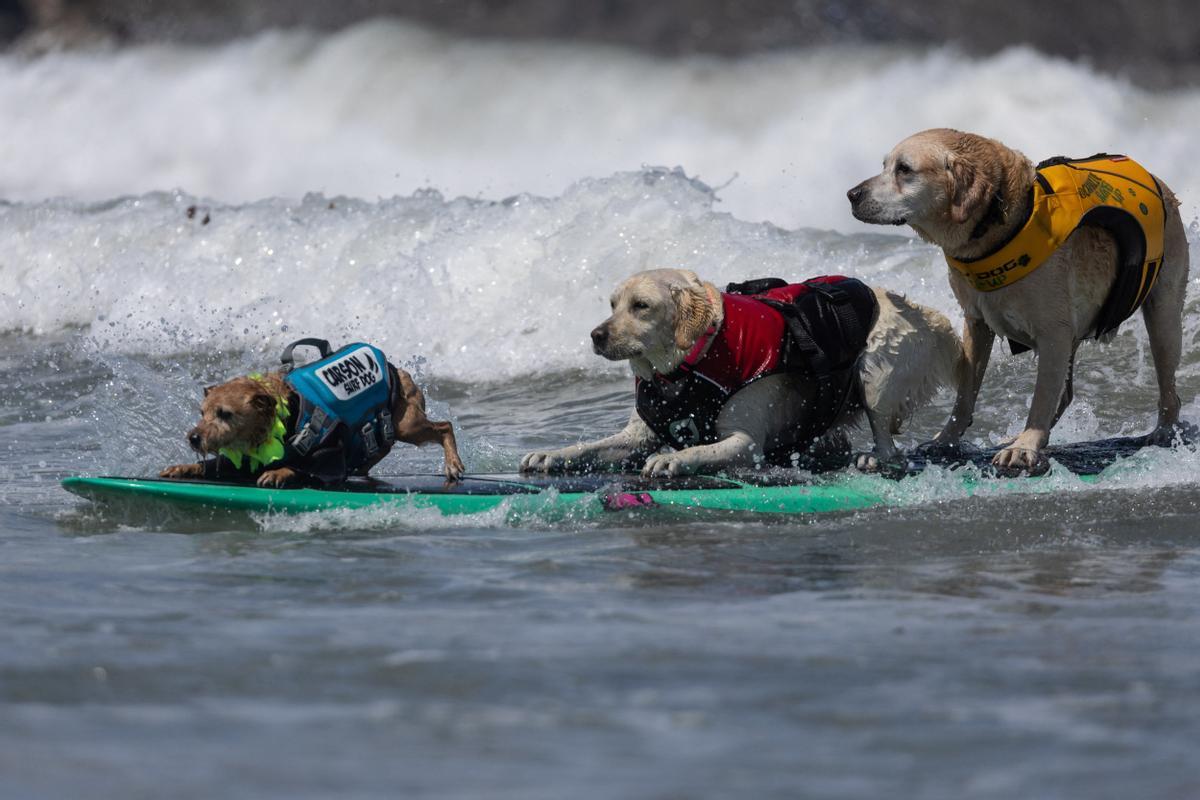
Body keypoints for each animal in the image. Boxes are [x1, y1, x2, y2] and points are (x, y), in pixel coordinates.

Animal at [156, 340, 463, 484]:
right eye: (202, 412)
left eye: (225, 413)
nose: (194, 438)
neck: (286, 416)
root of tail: (396, 368)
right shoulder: (244, 460)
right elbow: (211, 465)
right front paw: (184, 466)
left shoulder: (331, 457)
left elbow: (306, 467)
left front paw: (279, 472)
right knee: (381, 446)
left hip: (406, 422)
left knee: (444, 426)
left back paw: (453, 464)